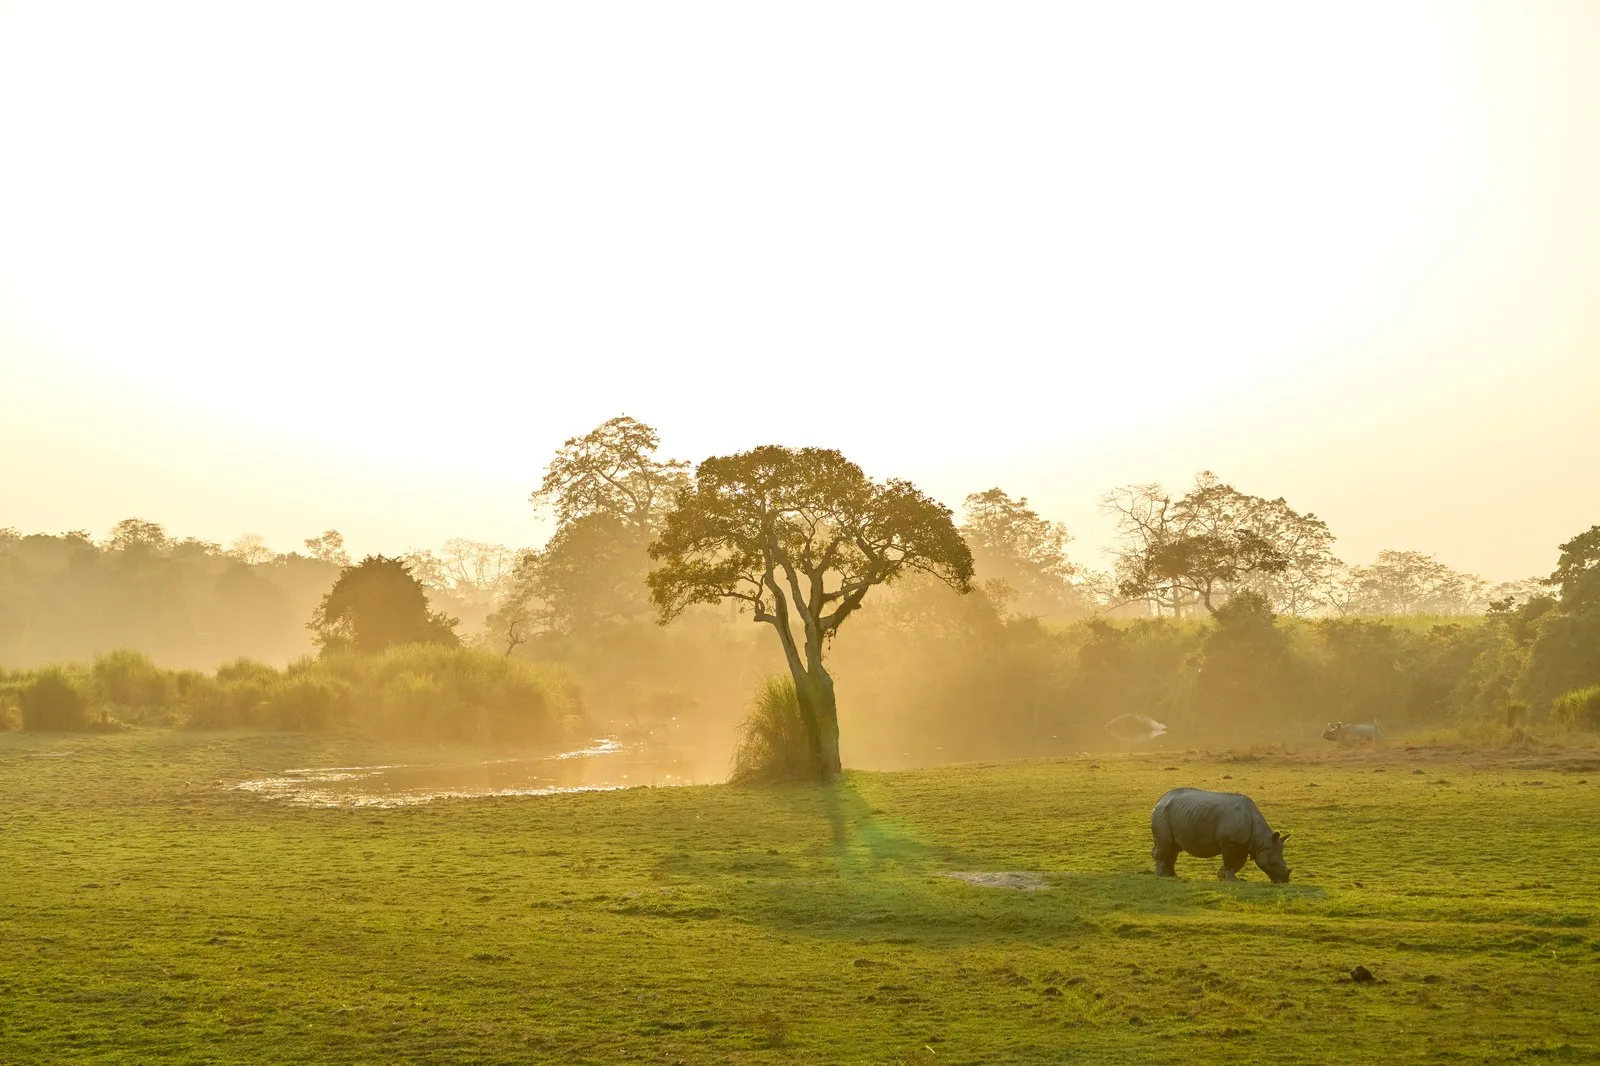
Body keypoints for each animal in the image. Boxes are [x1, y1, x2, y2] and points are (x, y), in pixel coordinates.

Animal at [1150, 787, 1292, 883]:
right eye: (1273, 863)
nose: (1285, 880)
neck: (1262, 840)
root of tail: (1160, 799)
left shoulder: (1243, 844)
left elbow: (1238, 862)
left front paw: (1222, 876)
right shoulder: (1229, 841)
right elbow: (1230, 861)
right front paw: (1231, 880)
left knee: (1173, 848)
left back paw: (1173, 876)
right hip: (1162, 812)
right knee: (1166, 844)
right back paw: (1161, 876)